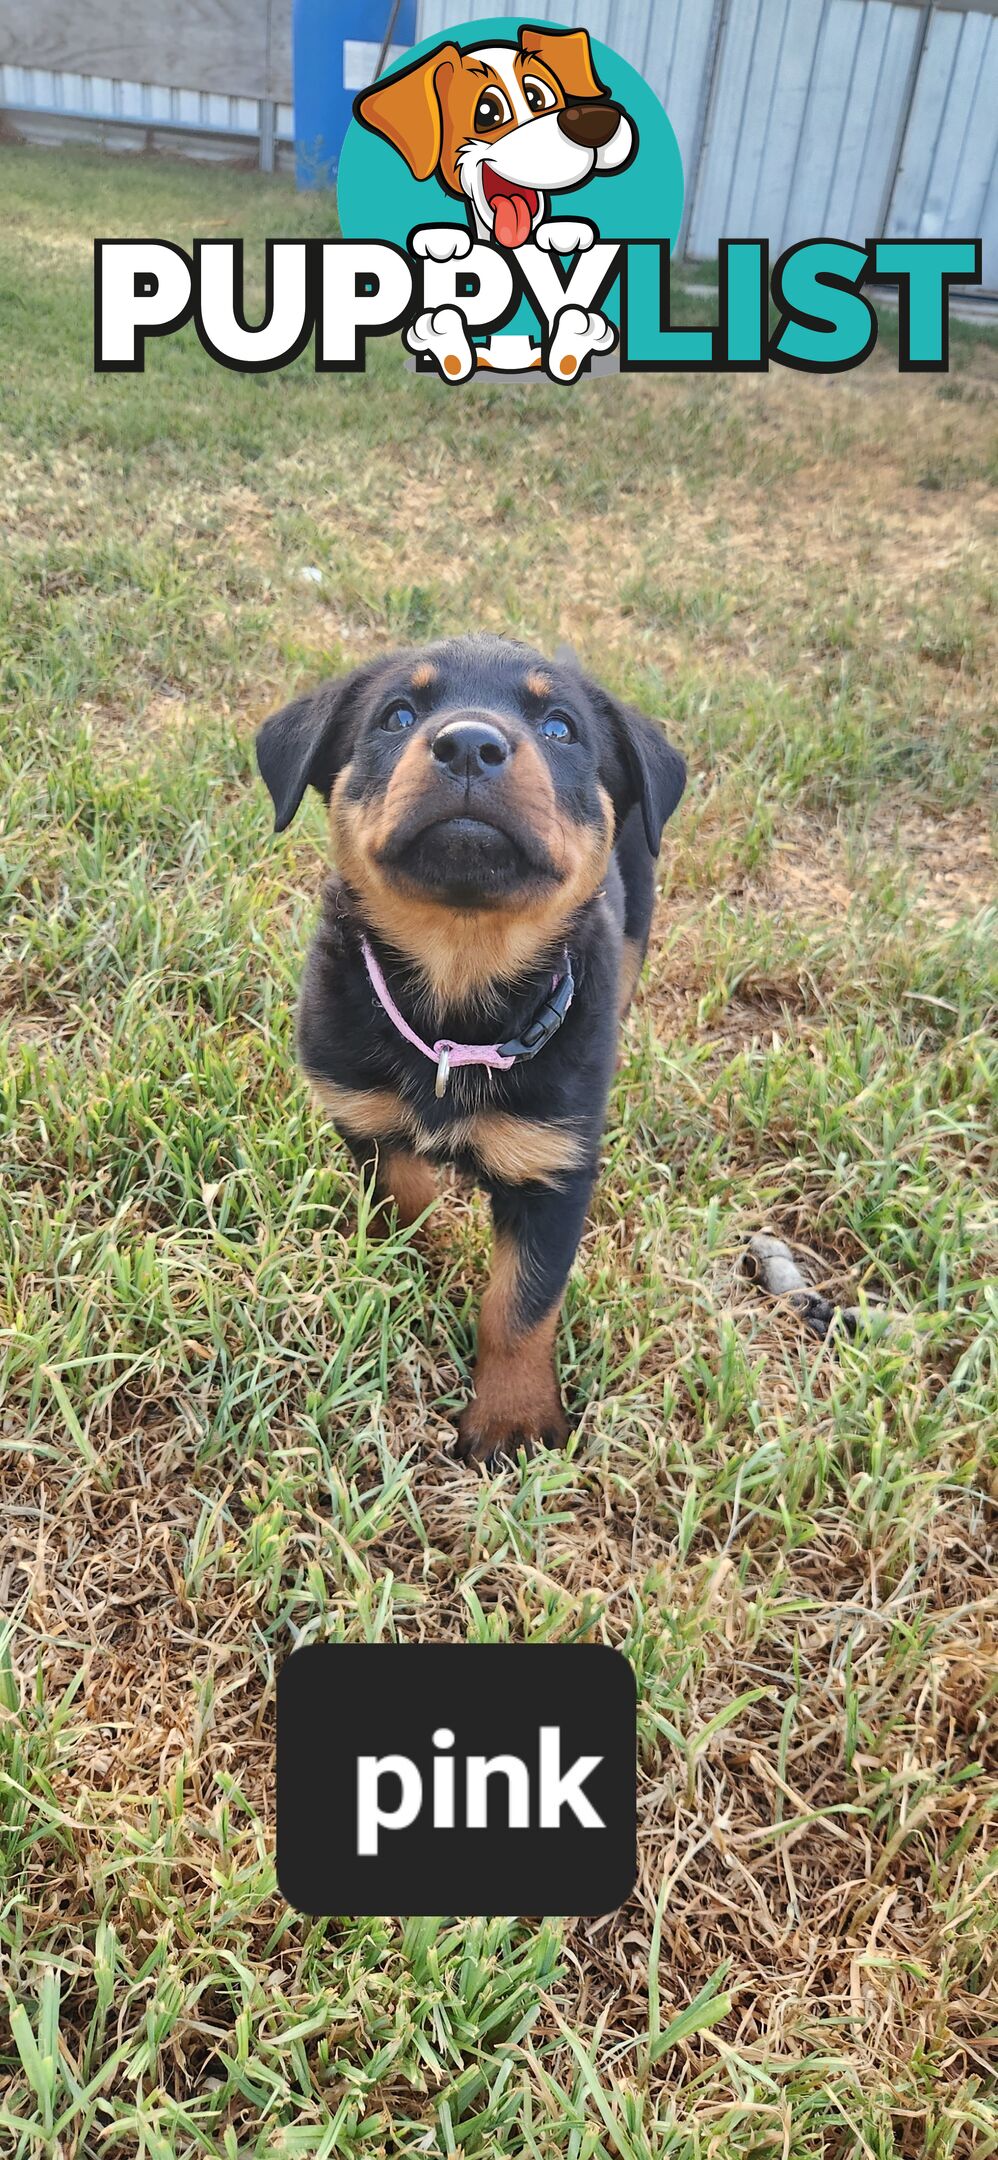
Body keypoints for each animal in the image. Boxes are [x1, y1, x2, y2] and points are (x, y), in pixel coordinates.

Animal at [254, 630, 686, 1468]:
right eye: (396, 714)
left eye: (560, 728)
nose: (469, 745)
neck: (458, 996)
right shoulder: (363, 1117)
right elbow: (406, 1200)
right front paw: (424, 1260)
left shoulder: (555, 1167)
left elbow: (520, 1304)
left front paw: (512, 1419)